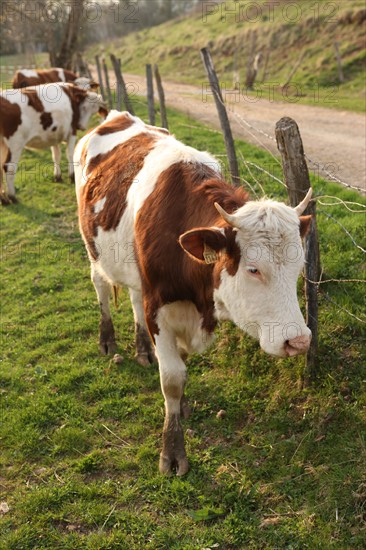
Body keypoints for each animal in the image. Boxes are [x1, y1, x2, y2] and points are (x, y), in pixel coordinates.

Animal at [73, 111, 312, 478]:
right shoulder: (157, 305)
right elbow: (172, 377)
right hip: (93, 250)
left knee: (133, 299)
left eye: (299, 266)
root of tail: (115, 115)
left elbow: (181, 365)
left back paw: (142, 349)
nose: (298, 341)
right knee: (100, 285)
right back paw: (108, 340)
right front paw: (172, 452)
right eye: (253, 269)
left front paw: (182, 406)